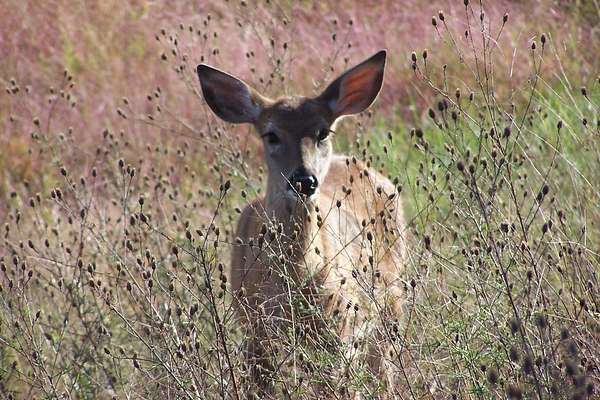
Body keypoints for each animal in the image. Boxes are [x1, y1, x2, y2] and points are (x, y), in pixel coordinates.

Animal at [196, 50, 405, 398]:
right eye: (271, 134)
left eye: (323, 132)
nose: (304, 180)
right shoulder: (254, 329)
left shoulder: (340, 327)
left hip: (391, 300)